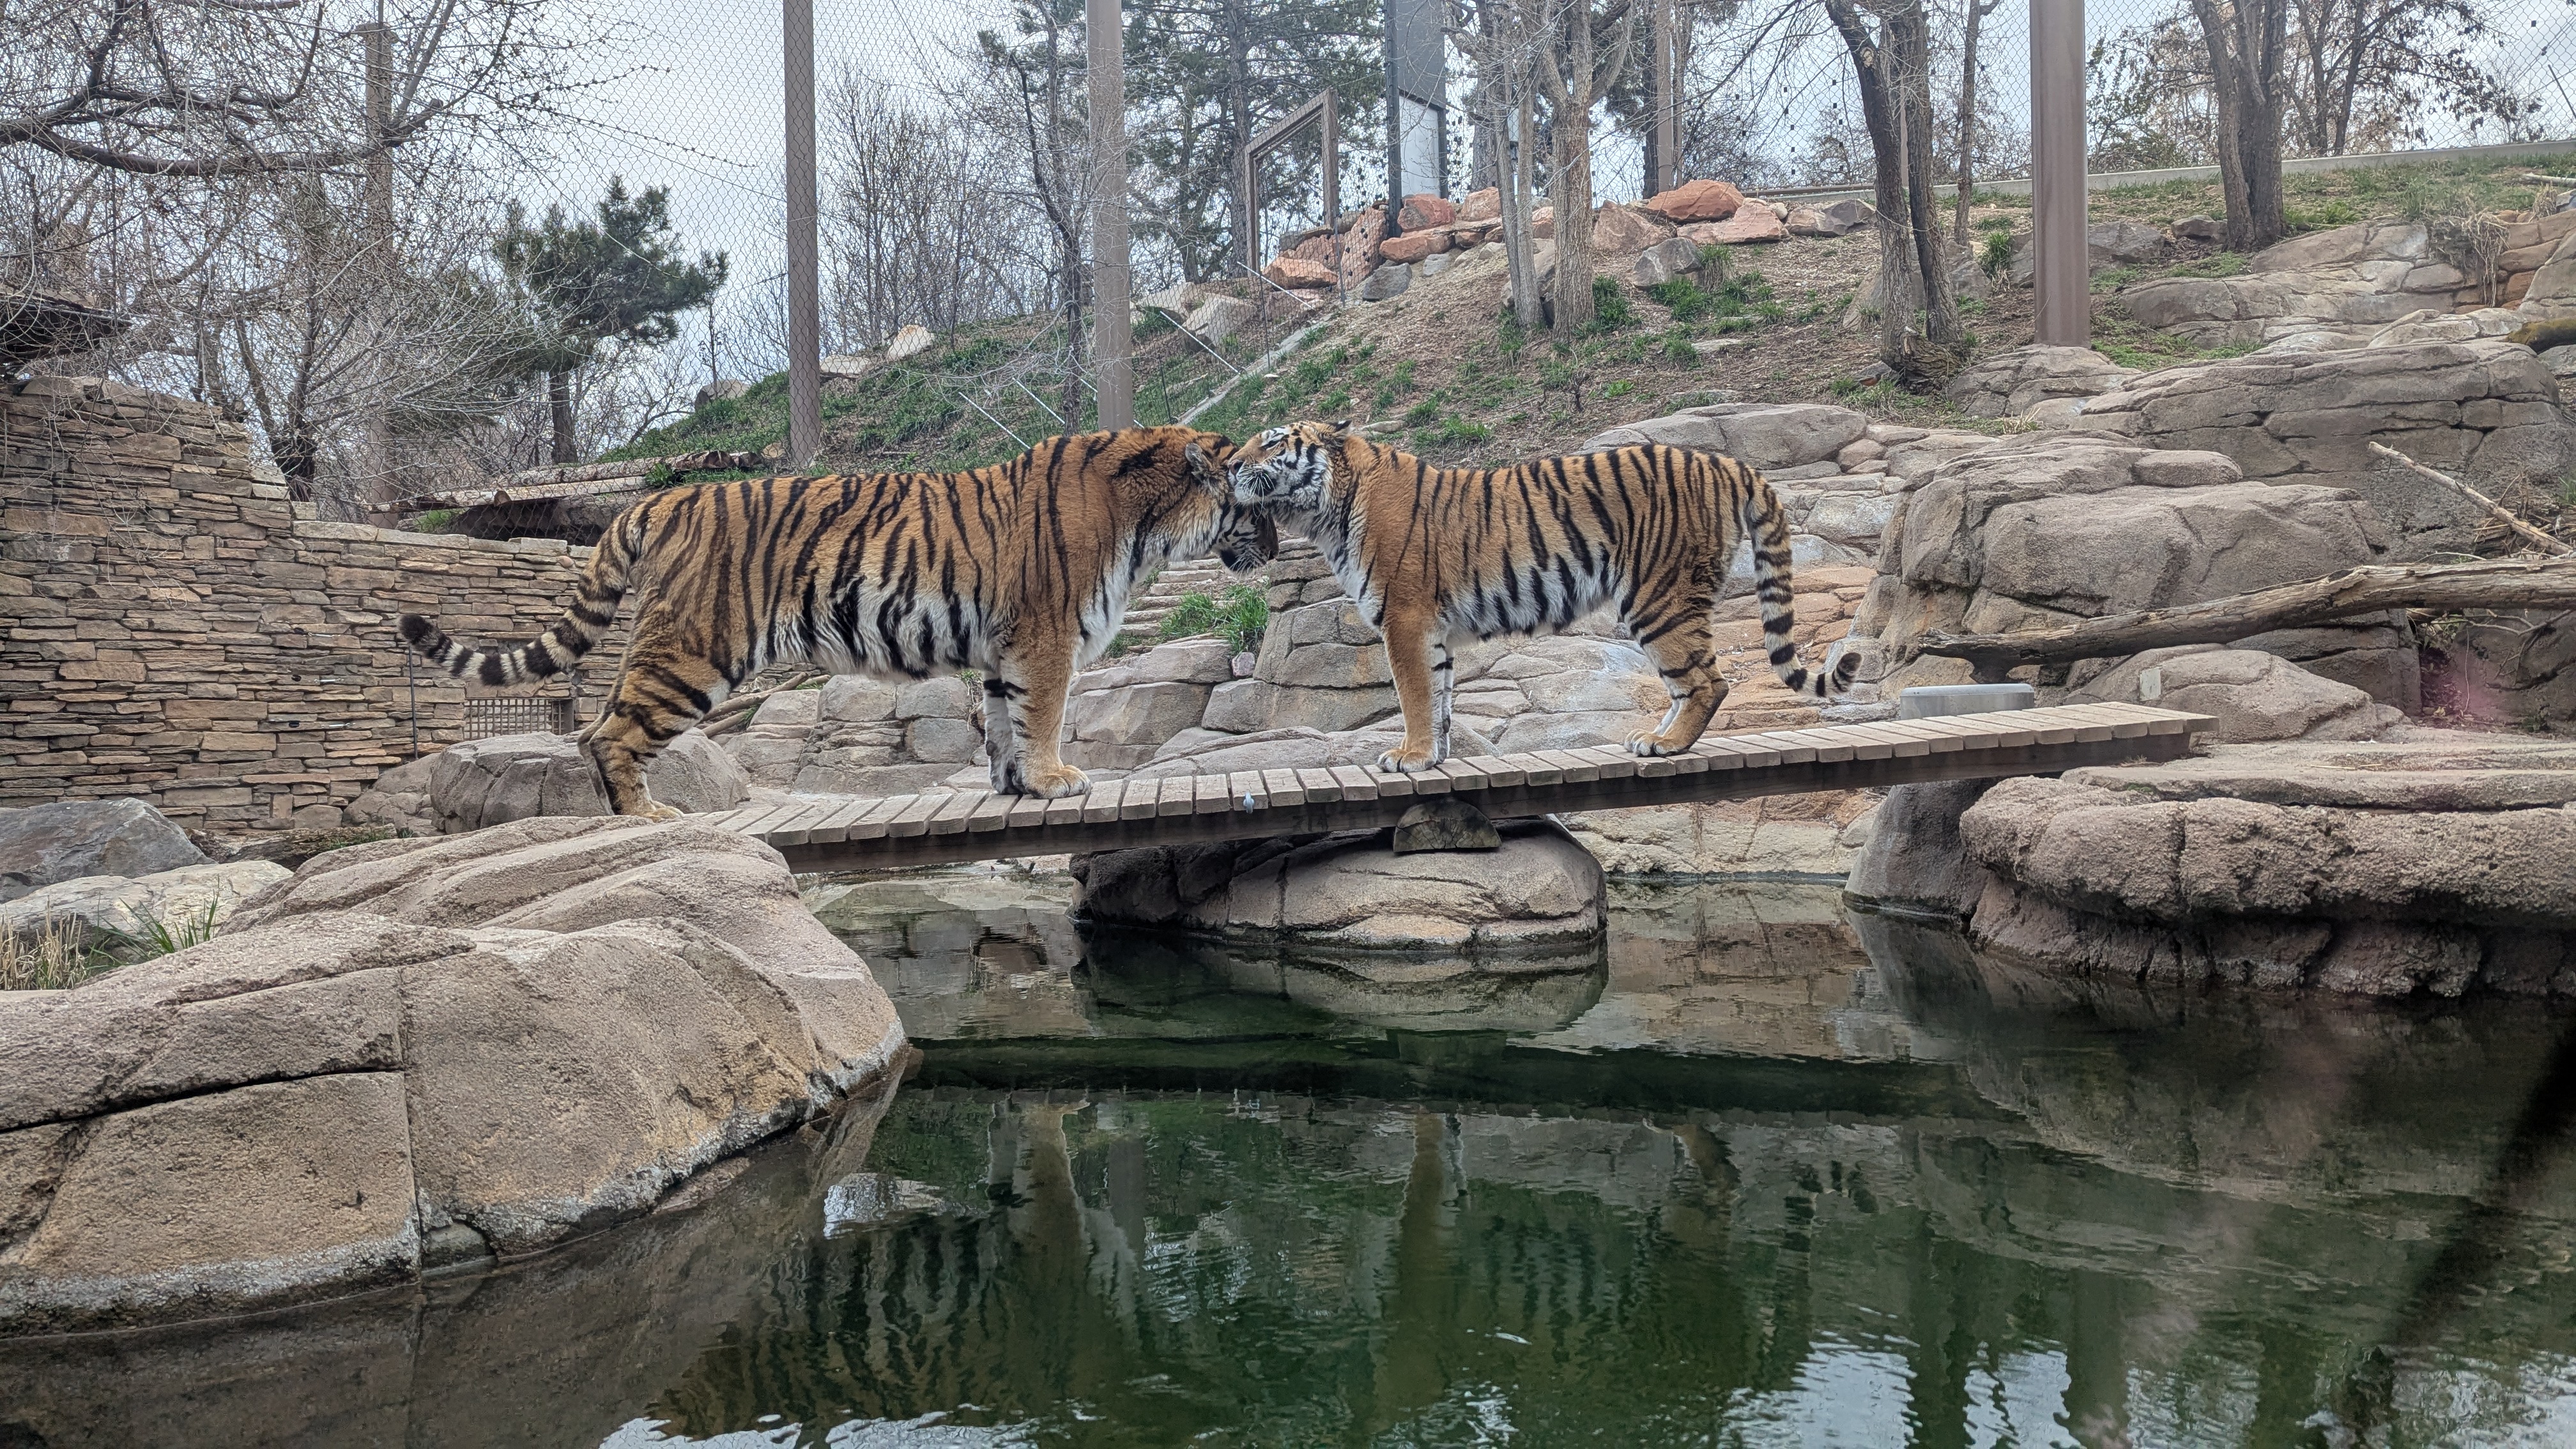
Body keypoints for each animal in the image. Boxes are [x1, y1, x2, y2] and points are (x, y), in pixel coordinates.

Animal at [399, 427, 1272, 818]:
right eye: (1260, 498)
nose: (1272, 544)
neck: (1151, 519)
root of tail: (658, 498)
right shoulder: (1046, 635)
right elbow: (1047, 713)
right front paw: (1057, 778)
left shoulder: (1005, 646)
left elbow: (1004, 720)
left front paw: (1016, 784)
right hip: (695, 649)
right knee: (608, 732)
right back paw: (647, 816)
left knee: (594, 725)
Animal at [1225, 420, 1857, 774]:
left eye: (1273, 443)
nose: (1228, 463)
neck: (1326, 510)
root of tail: (1723, 461)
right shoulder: (1432, 631)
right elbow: (1442, 697)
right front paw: (1435, 757)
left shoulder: (1403, 618)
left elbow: (1413, 697)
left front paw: (1407, 756)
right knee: (1693, 680)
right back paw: (1653, 738)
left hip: (1658, 596)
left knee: (1707, 681)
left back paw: (1667, 745)